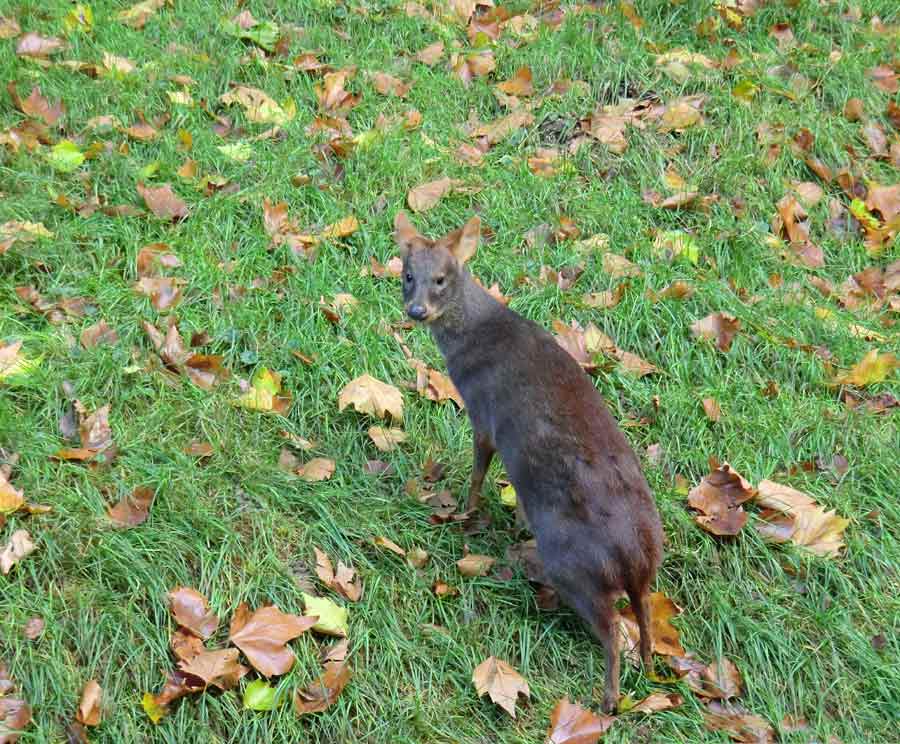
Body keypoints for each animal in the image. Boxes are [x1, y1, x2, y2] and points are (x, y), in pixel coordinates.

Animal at [398, 212, 664, 712]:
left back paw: (608, 699)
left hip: (572, 562)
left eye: (441, 279)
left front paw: (465, 514)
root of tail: (632, 553)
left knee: (613, 629)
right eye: (407, 275)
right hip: (642, 567)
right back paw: (648, 668)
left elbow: (478, 473)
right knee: (643, 615)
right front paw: (516, 516)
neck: (476, 334)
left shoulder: (483, 413)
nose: (417, 311)